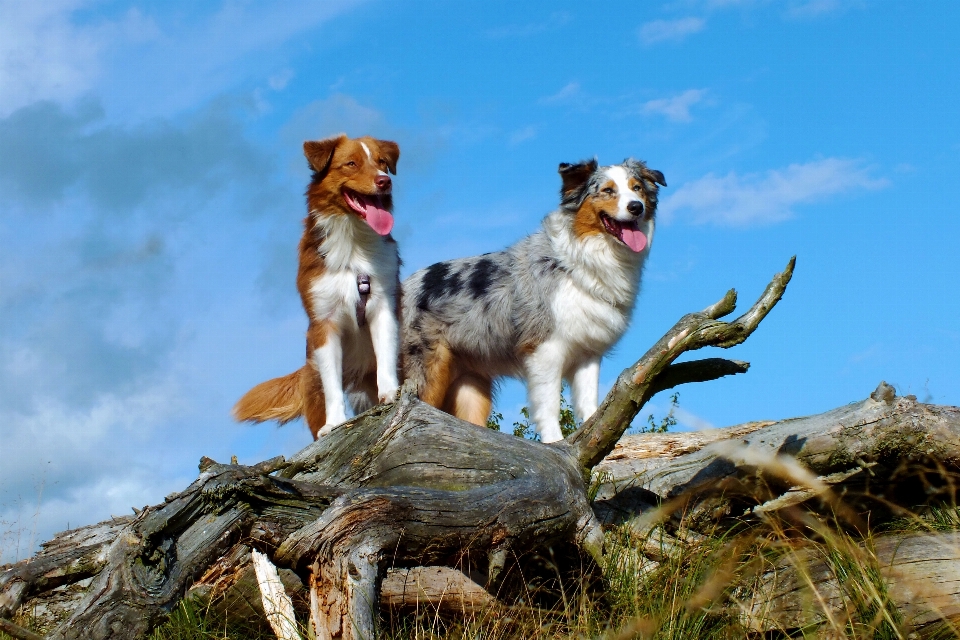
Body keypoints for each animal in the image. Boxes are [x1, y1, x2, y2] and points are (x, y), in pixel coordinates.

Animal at [236, 134, 402, 440]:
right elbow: (332, 384)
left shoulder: (384, 306)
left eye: (382, 162)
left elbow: (385, 357)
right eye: (351, 164)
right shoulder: (324, 322)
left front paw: (390, 392)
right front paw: (334, 422)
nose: (385, 181)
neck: (353, 243)